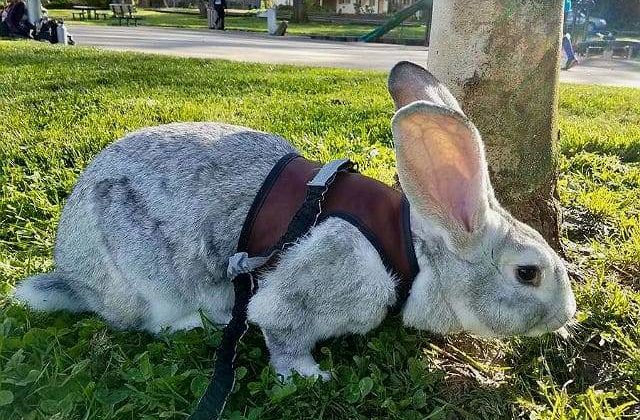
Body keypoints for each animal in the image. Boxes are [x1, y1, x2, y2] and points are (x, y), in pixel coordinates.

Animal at [14, 61, 576, 380]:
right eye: (528, 273)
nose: (567, 315)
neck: (415, 252)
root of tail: (70, 271)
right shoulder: (313, 290)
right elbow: (283, 334)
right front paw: (309, 376)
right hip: (144, 272)